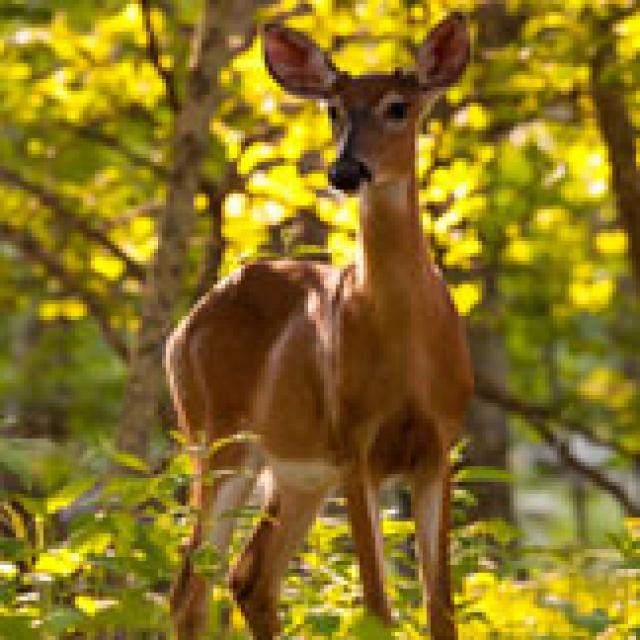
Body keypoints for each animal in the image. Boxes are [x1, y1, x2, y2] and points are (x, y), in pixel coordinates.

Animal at [166, 12, 473, 640]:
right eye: (333, 109)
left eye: (398, 106)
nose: (346, 170)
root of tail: (182, 328)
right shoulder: (355, 442)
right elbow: (378, 606)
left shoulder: (439, 445)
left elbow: (440, 611)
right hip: (215, 435)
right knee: (190, 585)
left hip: (297, 472)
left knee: (248, 575)